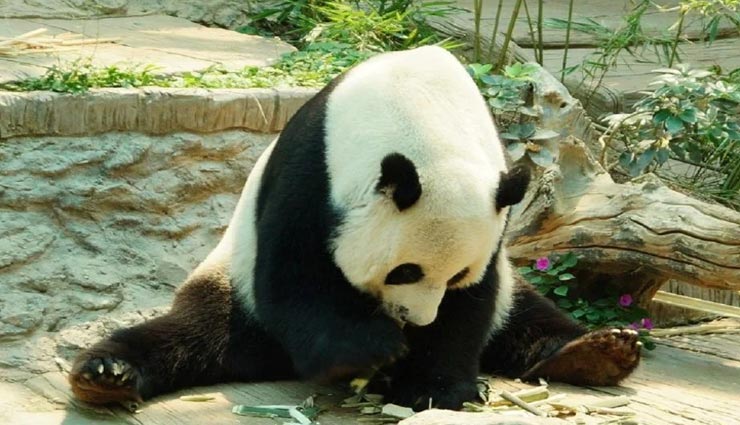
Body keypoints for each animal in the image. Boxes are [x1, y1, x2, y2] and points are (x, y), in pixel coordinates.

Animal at [69, 46, 641, 411]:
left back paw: (599, 352)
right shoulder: (310, 171)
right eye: (404, 271)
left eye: (454, 275)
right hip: (230, 281)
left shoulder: (495, 203)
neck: (420, 112)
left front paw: (433, 385)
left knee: (526, 314)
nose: (416, 320)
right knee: (194, 332)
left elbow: (475, 302)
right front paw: (371, 351)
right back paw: (106, 376)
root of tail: (268, 358)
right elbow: (295, 278)